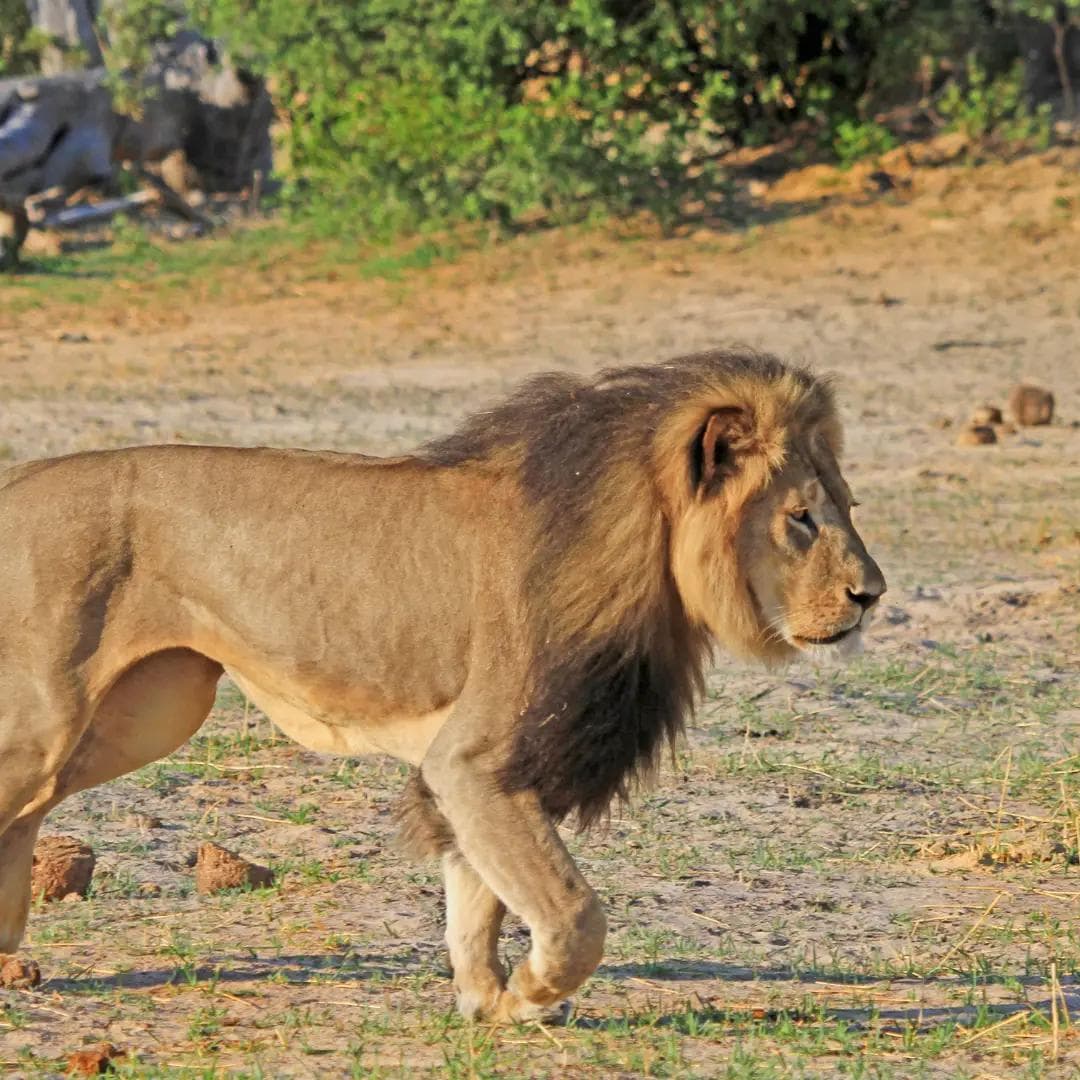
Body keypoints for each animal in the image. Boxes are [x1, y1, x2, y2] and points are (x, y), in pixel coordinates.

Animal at [0, 348, 884, 1021]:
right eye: (801, 517)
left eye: (849, 505)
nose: (872, 595)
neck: (645, 544)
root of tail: (17, 481)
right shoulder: (475, 758)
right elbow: (573, 913)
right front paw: (531, 992)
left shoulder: (485, 772)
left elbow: (478, 899)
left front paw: (486, 1001)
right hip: (52, 718)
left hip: (149, 713)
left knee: (29, 813)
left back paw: (9, 961)